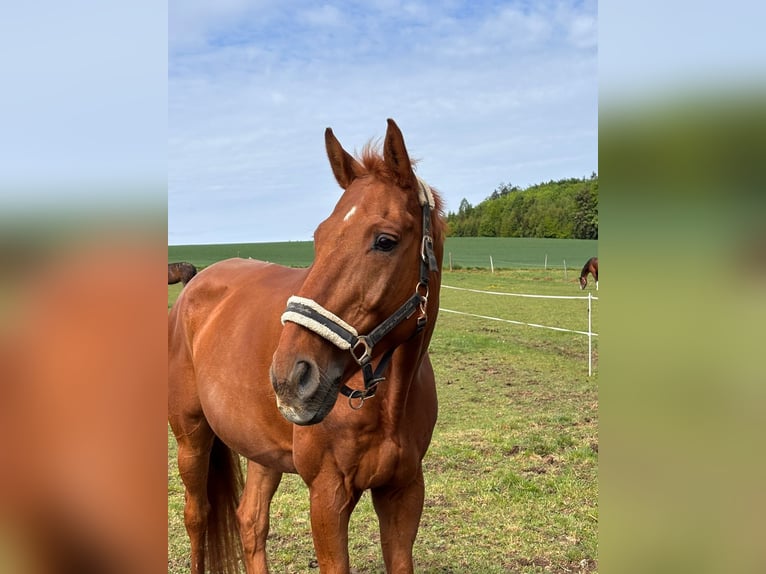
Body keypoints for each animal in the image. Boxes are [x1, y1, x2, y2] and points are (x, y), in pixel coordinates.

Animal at [168, 119, 445, 574]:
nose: (290, 377)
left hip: (261, 453)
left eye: (385, 241)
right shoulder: (327, 497)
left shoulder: (404, 491)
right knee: (197, 517)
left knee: (250, 521)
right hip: (191, 437)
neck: (387, 402)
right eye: (319, 237)